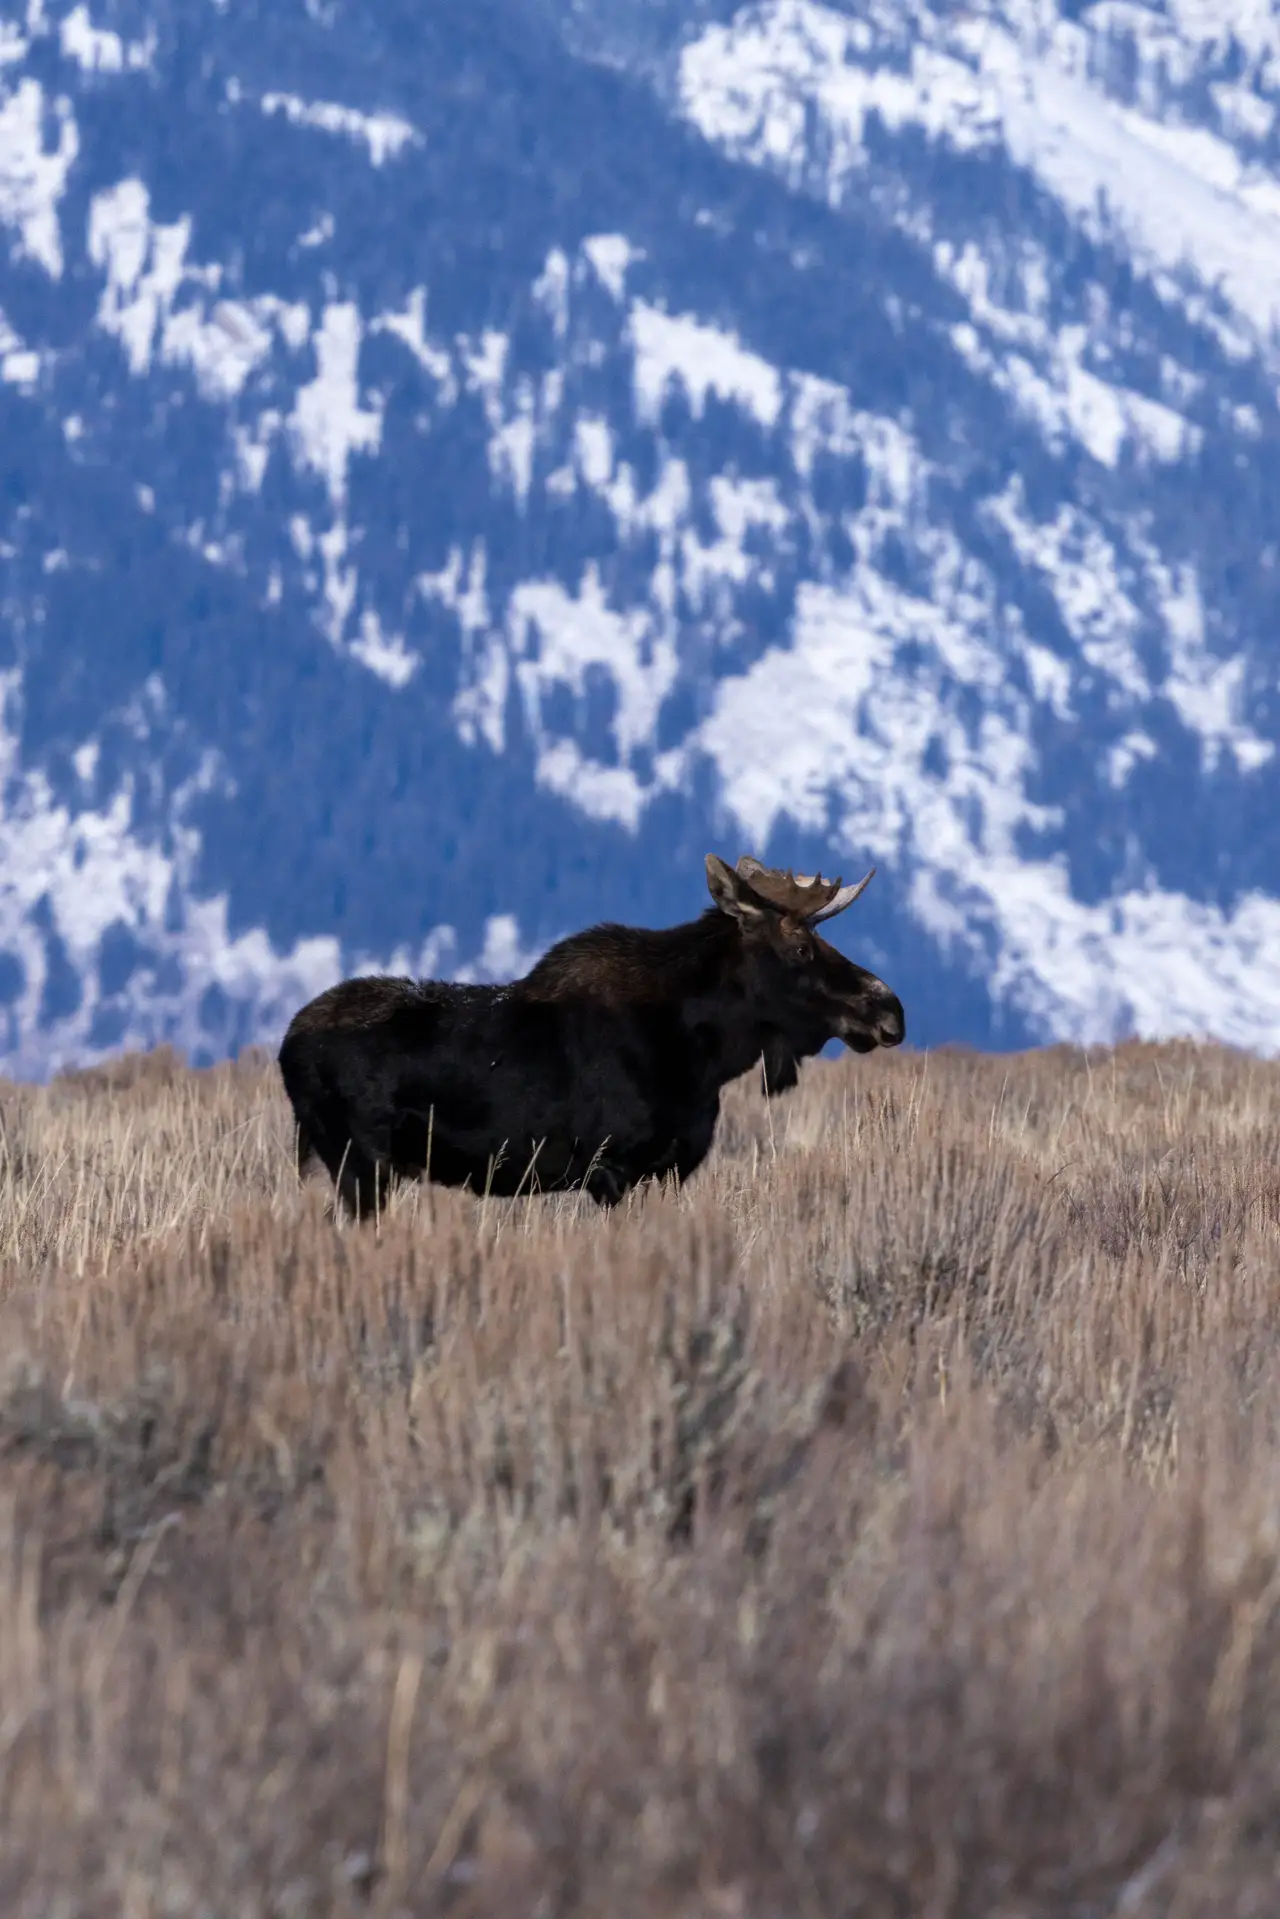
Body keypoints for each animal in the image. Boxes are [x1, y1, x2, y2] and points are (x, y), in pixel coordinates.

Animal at [277, 854, 904, 1218]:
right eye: (800, 947)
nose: (890, 1008)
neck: (704, 1056)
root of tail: (286, 1046)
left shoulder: (668, 1169)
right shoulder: (611, 1169)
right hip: (361, 1162)